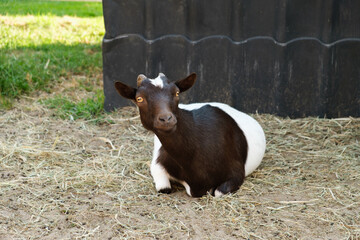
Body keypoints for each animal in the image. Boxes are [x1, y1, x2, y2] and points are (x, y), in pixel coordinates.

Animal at [116, 72, 268, 197]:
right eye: (139, 99)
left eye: (177, 93)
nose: (166, 119)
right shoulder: (158, 163)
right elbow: (164, 188)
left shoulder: (237, 172)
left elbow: (218, 192)